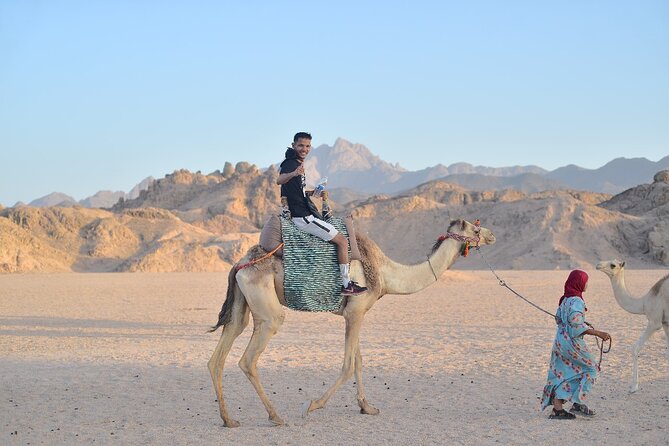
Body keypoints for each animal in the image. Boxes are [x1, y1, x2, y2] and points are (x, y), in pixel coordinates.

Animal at [207, 218, 495, 427]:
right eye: (475, 227)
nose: (492, 235)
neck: (385, 273)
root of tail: (240, 264)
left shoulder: (357, 313)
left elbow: (358, 360)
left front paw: (367, 407)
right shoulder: (355, 311)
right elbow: (348, 365)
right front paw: (312, 405)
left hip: (241, 304)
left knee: (219, 355)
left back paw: (228, 419)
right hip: (267, 311)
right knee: (249, 358)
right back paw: (276, 417)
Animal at [596, 259, 669, 392]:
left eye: (613, 265)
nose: (598, 265)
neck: (644, 303)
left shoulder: (655, 322)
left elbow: (634, 348)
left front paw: (634, 387)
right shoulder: (666, 323)